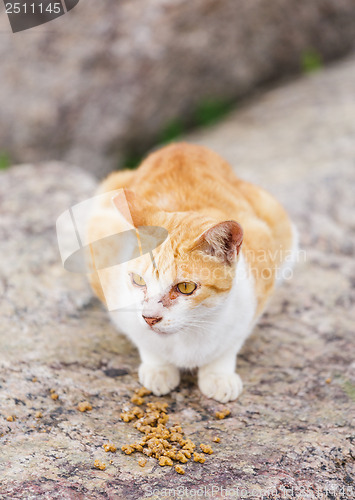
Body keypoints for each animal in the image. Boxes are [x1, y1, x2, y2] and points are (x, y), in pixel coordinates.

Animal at [87, 141, 298, 402]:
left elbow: (231, 344)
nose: (150, 317)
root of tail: (181, 145)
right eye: (138, 280)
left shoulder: (257, 293)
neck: (188, 336)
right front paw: (158, 369)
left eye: (185, 287)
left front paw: (218, 374)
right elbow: (143, 340)